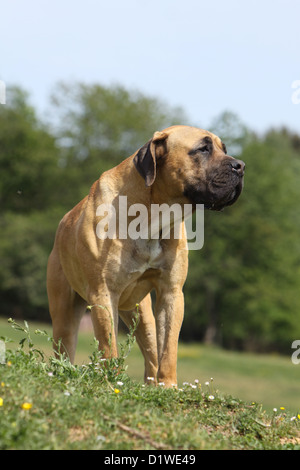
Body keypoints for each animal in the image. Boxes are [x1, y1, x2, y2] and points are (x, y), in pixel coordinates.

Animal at [46, 125, 244, 386]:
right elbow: (110, 347)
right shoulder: (103, 294)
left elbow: (168, 349)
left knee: (152, 356)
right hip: (64, 315)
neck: (152, 215)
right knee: (64, 347)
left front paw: (168, 386)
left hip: (142, 314)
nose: (241, 166)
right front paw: (112, 382)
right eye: (203, 149)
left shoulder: (171, 293)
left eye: (225, 149)